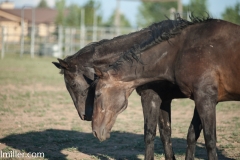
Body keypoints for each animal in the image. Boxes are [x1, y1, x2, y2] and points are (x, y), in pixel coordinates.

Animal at [91, 15, 240, 159]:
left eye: (97, 94)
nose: (95, 131)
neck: (181, 51)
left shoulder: (204, 99)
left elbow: (209, 140)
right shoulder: (195, 99)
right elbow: (184, 135)